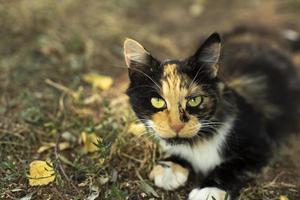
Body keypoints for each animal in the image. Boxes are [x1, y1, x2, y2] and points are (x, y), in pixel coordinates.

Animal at [123, 27, 298, 200]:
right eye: (157, 101)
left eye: (195, 100)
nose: (177, 126)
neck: (202, 140)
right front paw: (169, 167)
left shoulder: (260, 145)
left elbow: (233, 166)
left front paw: (209, 190)